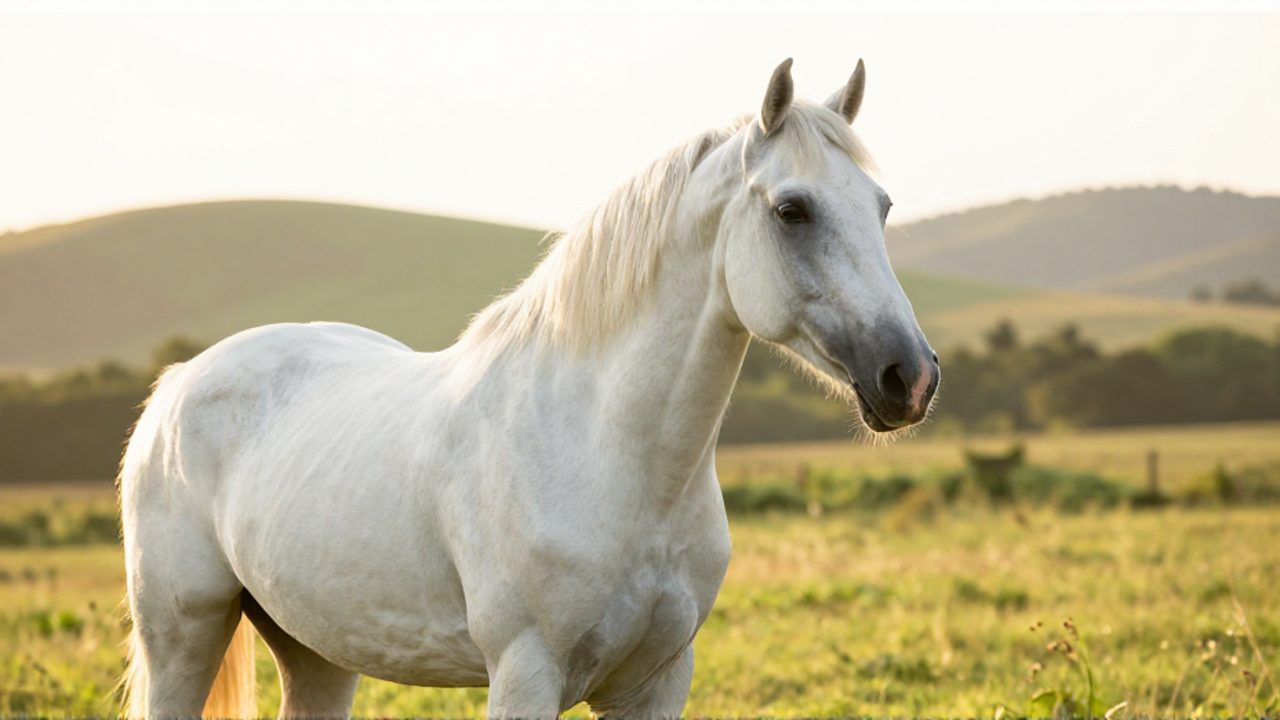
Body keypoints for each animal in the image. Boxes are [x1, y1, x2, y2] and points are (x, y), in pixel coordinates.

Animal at [119, 58, 940, 719]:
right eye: (791, 210)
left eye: (882, 206)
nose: (910, 377)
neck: (608, 455)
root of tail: (178, 385)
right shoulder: (525, 674)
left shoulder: (658, 683)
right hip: (184, 637)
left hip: (315, 648)